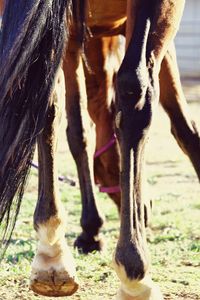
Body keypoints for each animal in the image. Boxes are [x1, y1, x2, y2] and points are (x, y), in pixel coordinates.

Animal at [0, 0, 199, 298]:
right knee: (136, 92)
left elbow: (75, 127)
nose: (146, 208)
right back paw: (134, 276)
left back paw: (52, 253)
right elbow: (184, 125)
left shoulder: (76, 38)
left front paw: (86, 231)